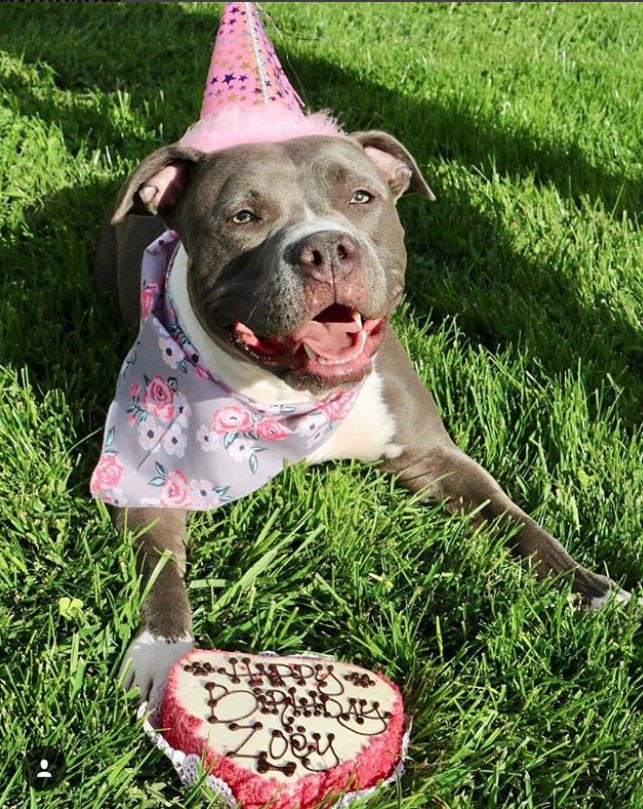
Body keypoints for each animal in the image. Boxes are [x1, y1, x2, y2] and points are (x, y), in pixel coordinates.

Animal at [93, 129, 632, 704]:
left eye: (361, 197)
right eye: (242, 216)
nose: (327, 248)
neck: (296, 397)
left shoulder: (433, 456)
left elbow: (517, 522)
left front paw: (590, 588)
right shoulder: (145, 483)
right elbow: (161, 570)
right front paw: (163, 653)